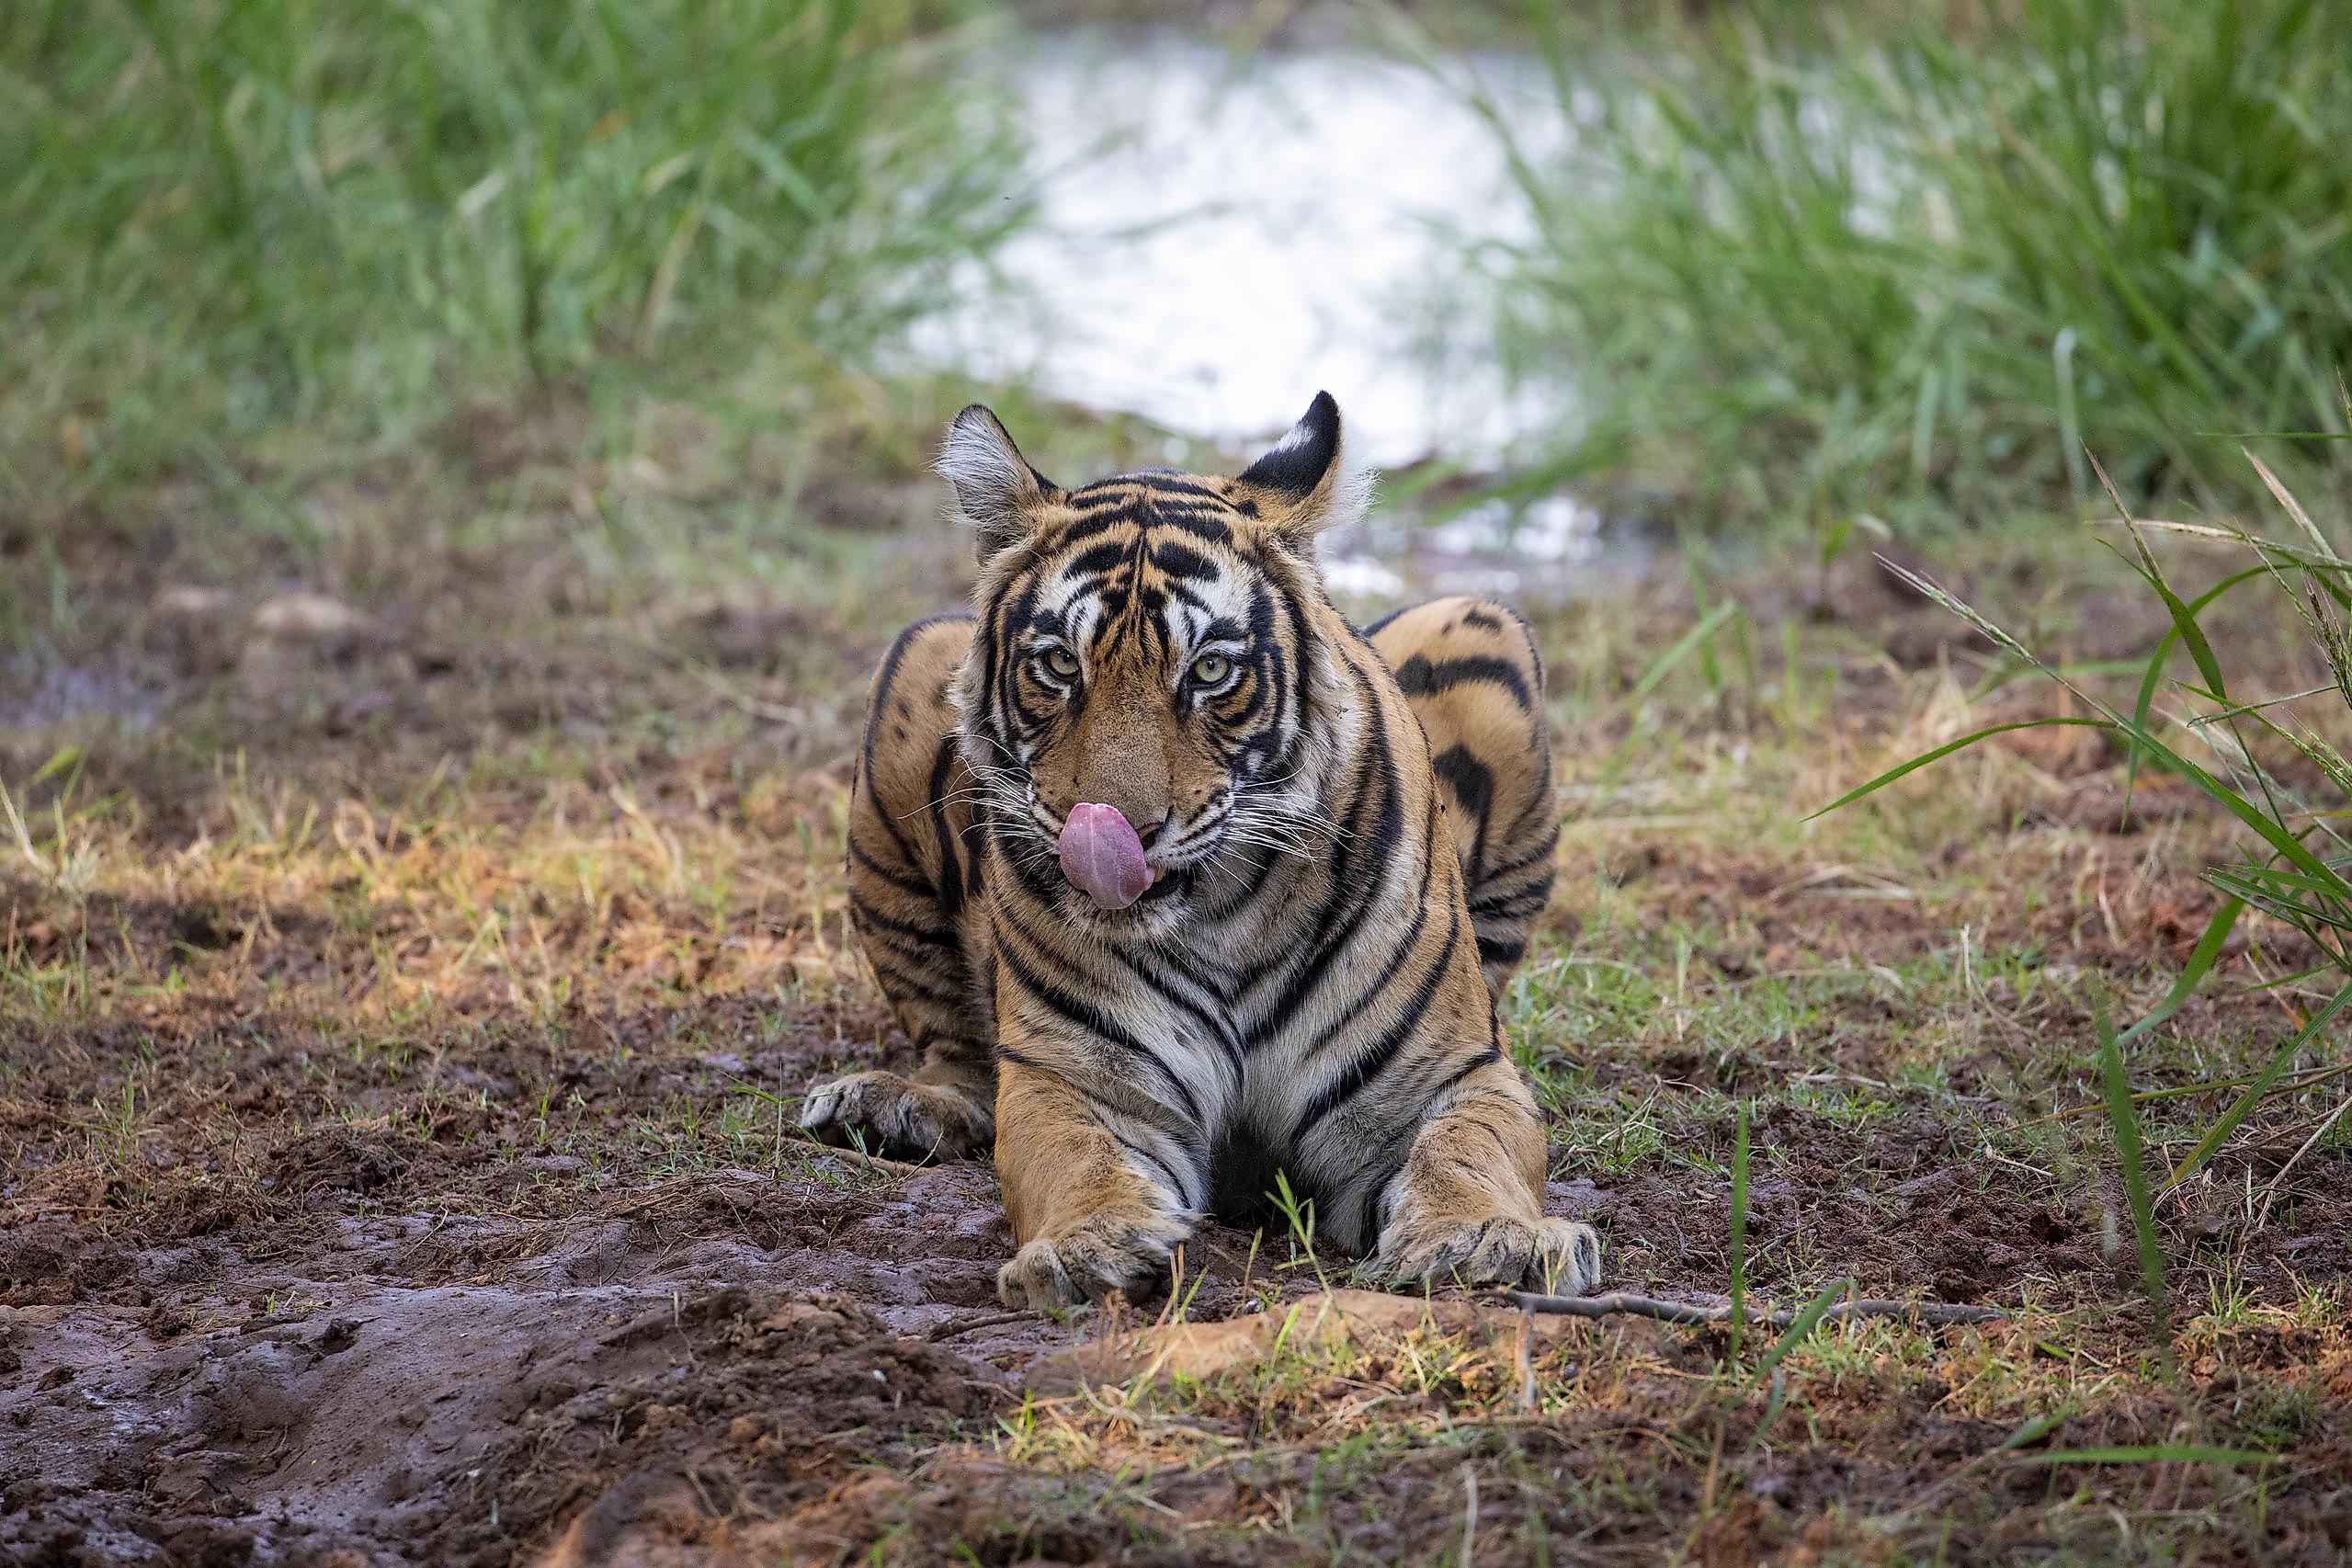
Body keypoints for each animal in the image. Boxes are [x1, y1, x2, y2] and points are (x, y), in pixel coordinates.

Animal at [800, 394, 1608, 1316]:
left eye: (1211, 670)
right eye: (1058, 664)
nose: (1115, 829)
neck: (1226, 915)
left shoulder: (1448, 1074)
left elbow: (1467, 1151)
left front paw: (1484, 1239)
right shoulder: (1077, 1081)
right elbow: (1072, 1158)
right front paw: (1089, 1246)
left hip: (1479, 622)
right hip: (910, 671)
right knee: (956, 1052)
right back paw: (889, 1107)